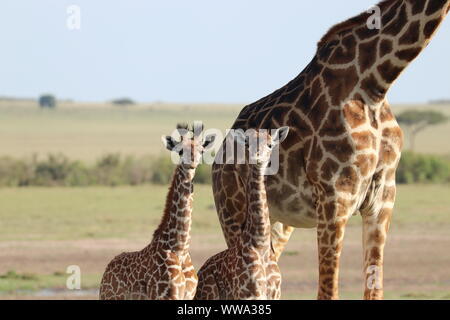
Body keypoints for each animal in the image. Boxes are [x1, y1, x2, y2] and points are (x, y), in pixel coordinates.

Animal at [100, 123, 216, 300]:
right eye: (180, 151)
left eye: (201, 150)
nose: (191, 162)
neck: (180, 249)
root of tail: (106, 271)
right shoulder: (165, 296)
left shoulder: (188, 296)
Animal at [195, 125, 290, 300]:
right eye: (247, 143)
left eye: (270, 144)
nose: (257, 157)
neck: (260, 243)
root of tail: (200, 271)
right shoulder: (248, 292)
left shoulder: (275, 293)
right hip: (209, 295)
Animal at [212, 0, 450, 300]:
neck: (376, 82)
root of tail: (219, 156)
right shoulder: (335, 195)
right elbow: (328, 291)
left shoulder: (383, 197)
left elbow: (374, 290)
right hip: (232, 210)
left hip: (277, 222)